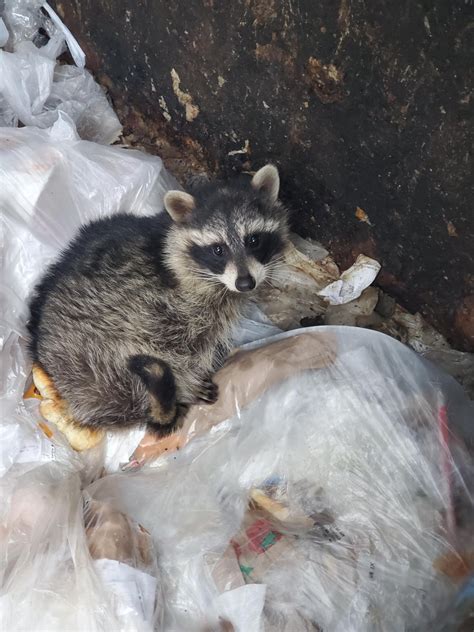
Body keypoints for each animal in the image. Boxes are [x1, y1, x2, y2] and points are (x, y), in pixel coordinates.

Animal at [28, 165, 288, 436]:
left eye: (253, 240)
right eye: (218, 249)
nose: (245, 283)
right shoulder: (165, 305)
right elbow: (179, 345)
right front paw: (189, 380)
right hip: (92, 350)